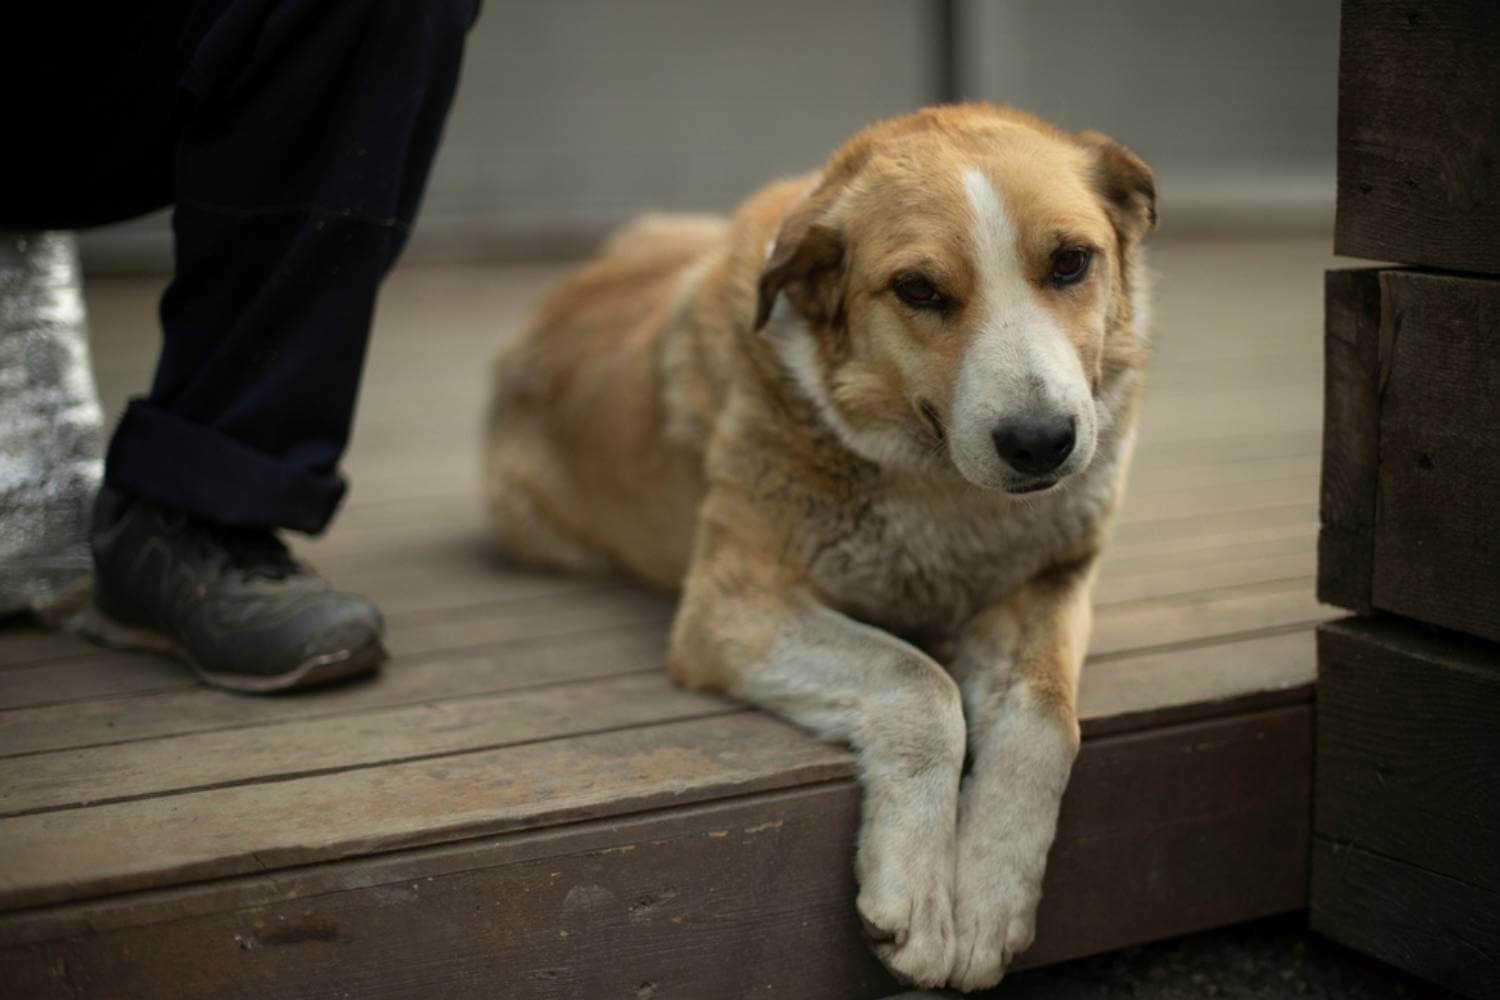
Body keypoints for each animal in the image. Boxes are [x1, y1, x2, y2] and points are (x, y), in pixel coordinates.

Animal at [480, 103, 1146, 995]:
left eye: (1072, 262)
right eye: (919, 291)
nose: (1042, 442)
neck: (943, 495)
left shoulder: (1052, 582)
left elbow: (1045, 722)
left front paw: (991, 898)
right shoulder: (733, 606)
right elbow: (919, 685)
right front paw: (920, 899)